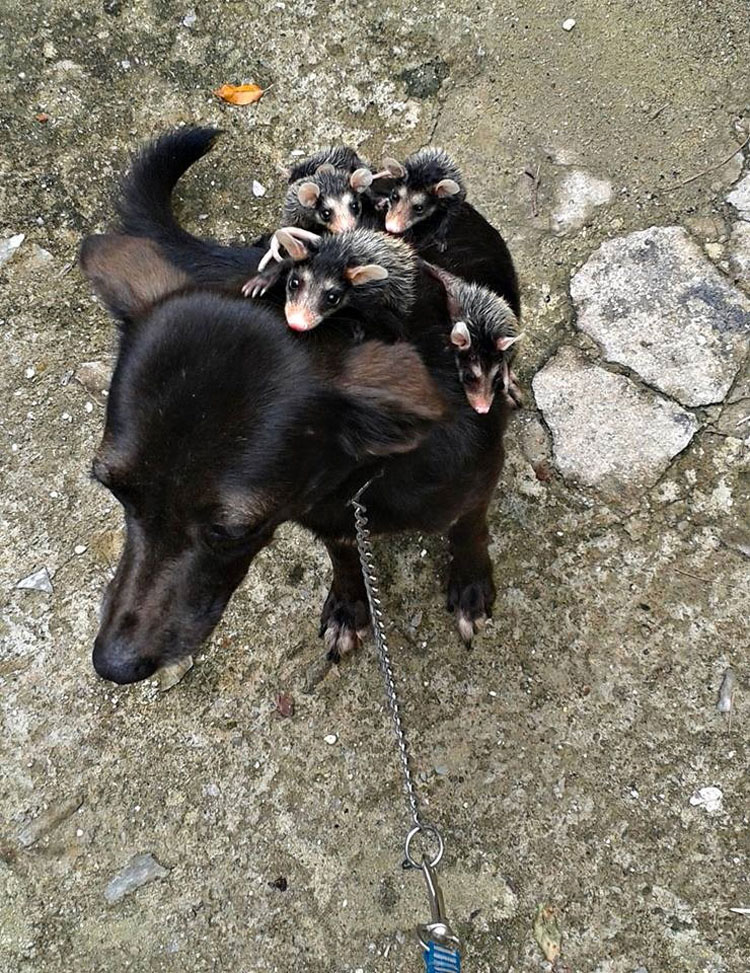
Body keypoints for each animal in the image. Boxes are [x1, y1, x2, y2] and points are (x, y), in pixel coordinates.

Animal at [81, 129, 516, 684]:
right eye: (113, 488)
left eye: (231, 530)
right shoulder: (326, 520)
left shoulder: (478, 483)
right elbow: (346, 559)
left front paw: (470, 584)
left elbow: (469, 530)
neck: (360, 479)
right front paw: (350, 606)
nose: (113, 664)